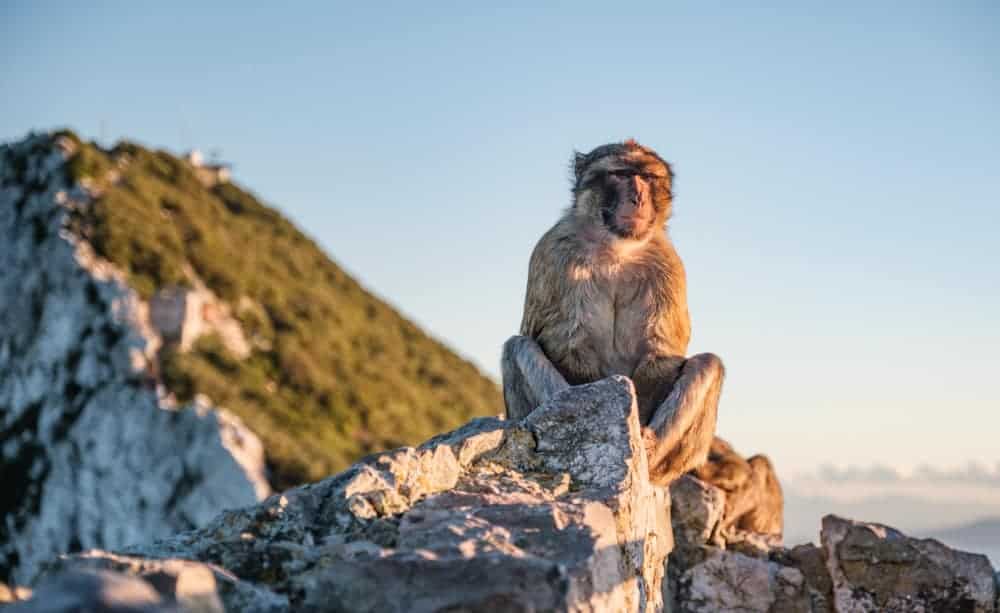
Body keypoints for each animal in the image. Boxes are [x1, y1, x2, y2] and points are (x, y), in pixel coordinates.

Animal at [501, 139, 724, 485]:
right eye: (621, 174)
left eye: (647, 177)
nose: (638, 197)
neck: (616, 247)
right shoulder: (556, 250)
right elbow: (563, 340)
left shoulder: (667, 263)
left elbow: (661, 350)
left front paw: (637, 429)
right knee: (517, 345)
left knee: (709, 364)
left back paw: (649, 450)